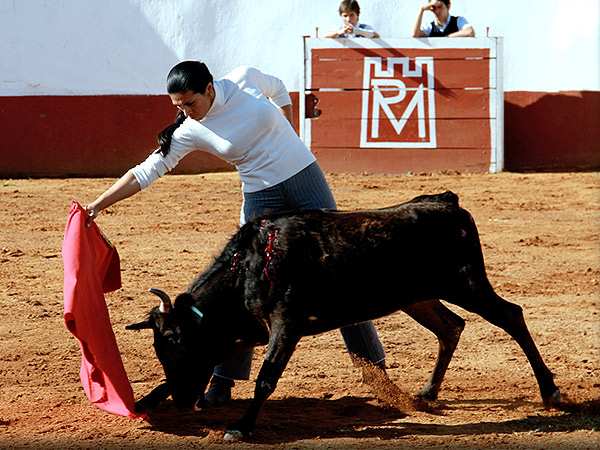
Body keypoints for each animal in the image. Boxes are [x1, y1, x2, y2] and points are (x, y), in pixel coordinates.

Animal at [127, 192, 564, 438]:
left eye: (176, 340)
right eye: (160, 349)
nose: (184, 402)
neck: (250, 267)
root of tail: (446, 203)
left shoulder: (286, 325)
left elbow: (266, 378)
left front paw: (242, 428)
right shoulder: (244, 332)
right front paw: (144, 401)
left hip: (467, 284)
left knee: (511, 316)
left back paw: (551, 392)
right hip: (417, 298)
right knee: (451, 326)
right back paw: (426, 394)